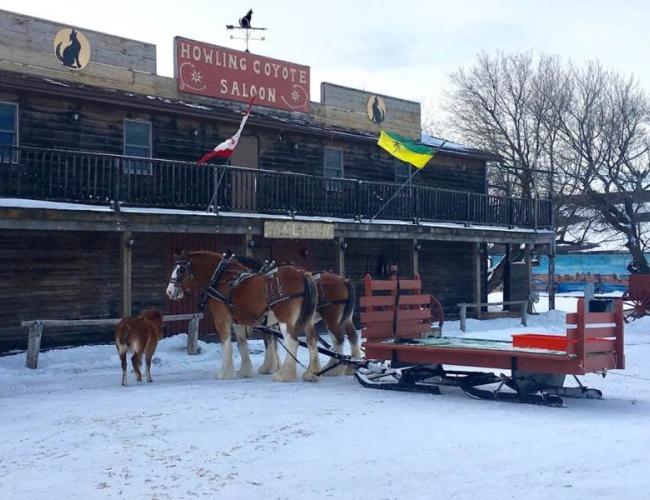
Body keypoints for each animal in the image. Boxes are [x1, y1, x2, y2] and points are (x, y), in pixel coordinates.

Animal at [166, 250, 320, 382]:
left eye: (181, 270)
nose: (169, 291)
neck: (221, 279)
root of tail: (302, 274)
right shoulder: (238, 322)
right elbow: (242, 345)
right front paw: (245, 371)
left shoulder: (222, 320)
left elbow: (227, 345)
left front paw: (224, 373)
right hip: (307, 320)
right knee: (311, 340)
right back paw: (311, 373)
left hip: (284, 320)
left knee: (292, 342)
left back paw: (284, 375)